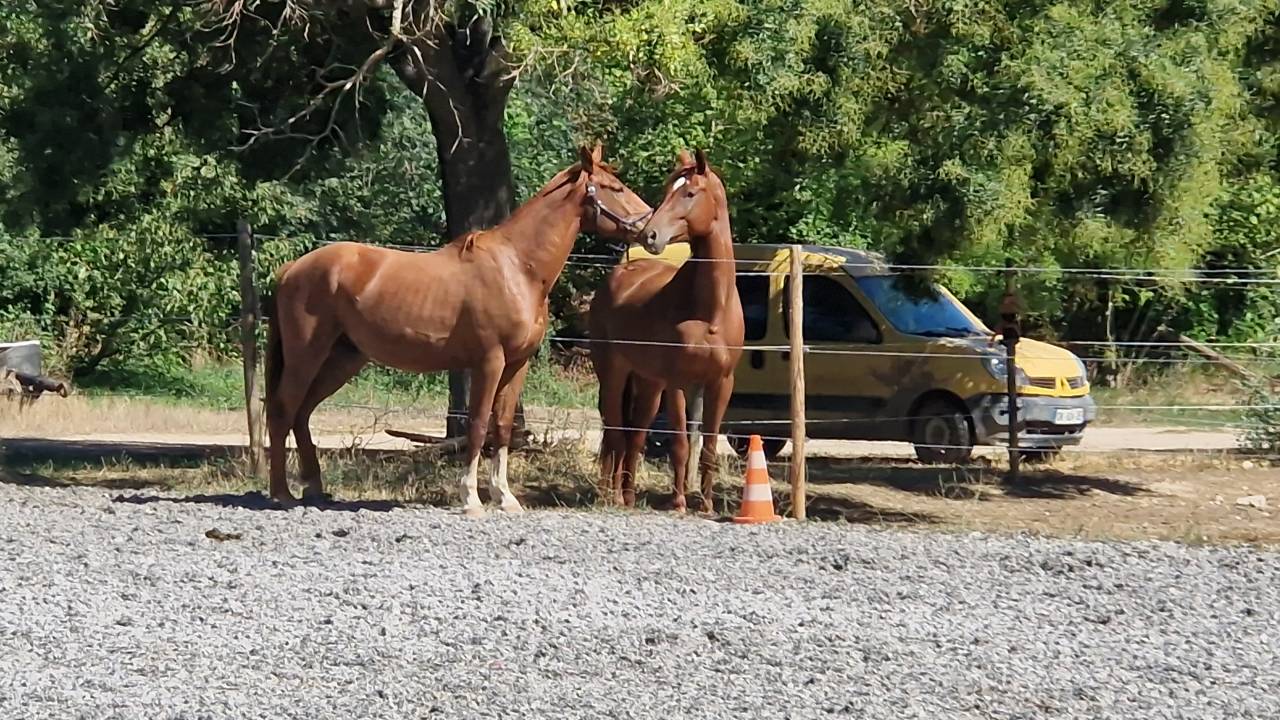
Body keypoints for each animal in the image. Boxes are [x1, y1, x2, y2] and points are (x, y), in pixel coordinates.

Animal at [264, 144, 651, 515]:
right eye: (614, 188)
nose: (650, 230)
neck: (517, 268)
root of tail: (292, 268)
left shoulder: (517, 365)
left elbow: (503, 427)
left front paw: (505, 498)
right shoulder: (489, 362)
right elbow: (478, 425)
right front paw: (471, 499)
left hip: (343, 358)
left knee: (302, 412)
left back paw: (314, 489)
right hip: (307, 355)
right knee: (283, 409)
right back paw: (282, 494)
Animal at [588, 149, 745, 513]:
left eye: (690, 193)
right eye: (667, 190)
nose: (650, 235)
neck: (711, 311)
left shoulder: (721, 384)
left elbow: (709, 447)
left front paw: (706, 504)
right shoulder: (678, 383)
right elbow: (681, 445)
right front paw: (679, 502)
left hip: (648, 383)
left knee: (635, 435)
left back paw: (628, 496)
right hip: (614, 373)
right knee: (614, 430)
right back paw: (609, 495)